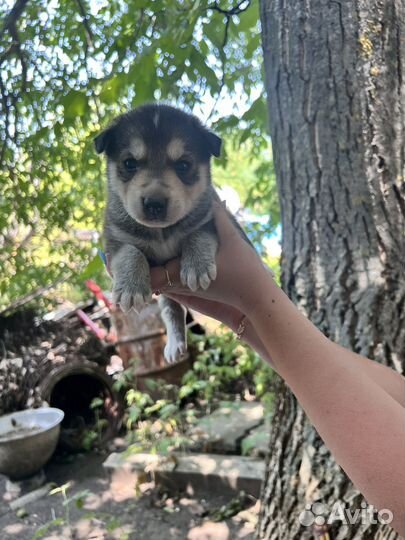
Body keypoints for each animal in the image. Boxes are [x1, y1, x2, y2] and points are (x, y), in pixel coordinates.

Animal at [96, 103, 224, 364]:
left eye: (183, 165)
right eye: (130, 163)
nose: (154, 204)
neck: (161, 232)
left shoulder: (207, 221)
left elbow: (197, 235)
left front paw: (196, 267)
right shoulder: (115, 238)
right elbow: (130, 252)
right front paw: (132, 288)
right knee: (171, 310)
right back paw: (175, 344)